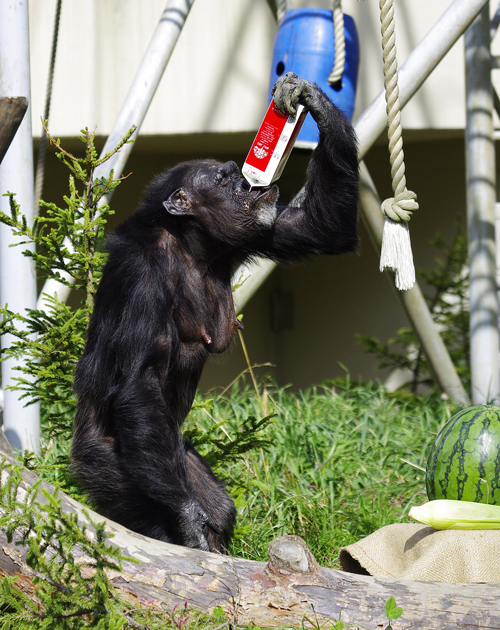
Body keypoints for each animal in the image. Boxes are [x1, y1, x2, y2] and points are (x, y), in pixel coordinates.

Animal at [71, 73, 360, 552]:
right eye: (223, 180)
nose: (247, 181)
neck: (192, 247)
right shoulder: (141, 274)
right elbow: (138, 381)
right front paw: (188, 521)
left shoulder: (254, 233)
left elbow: (319, 227)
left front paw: (306, 98)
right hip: (109, 462)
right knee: (143, 507)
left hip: (179, 456)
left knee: (221, 509)